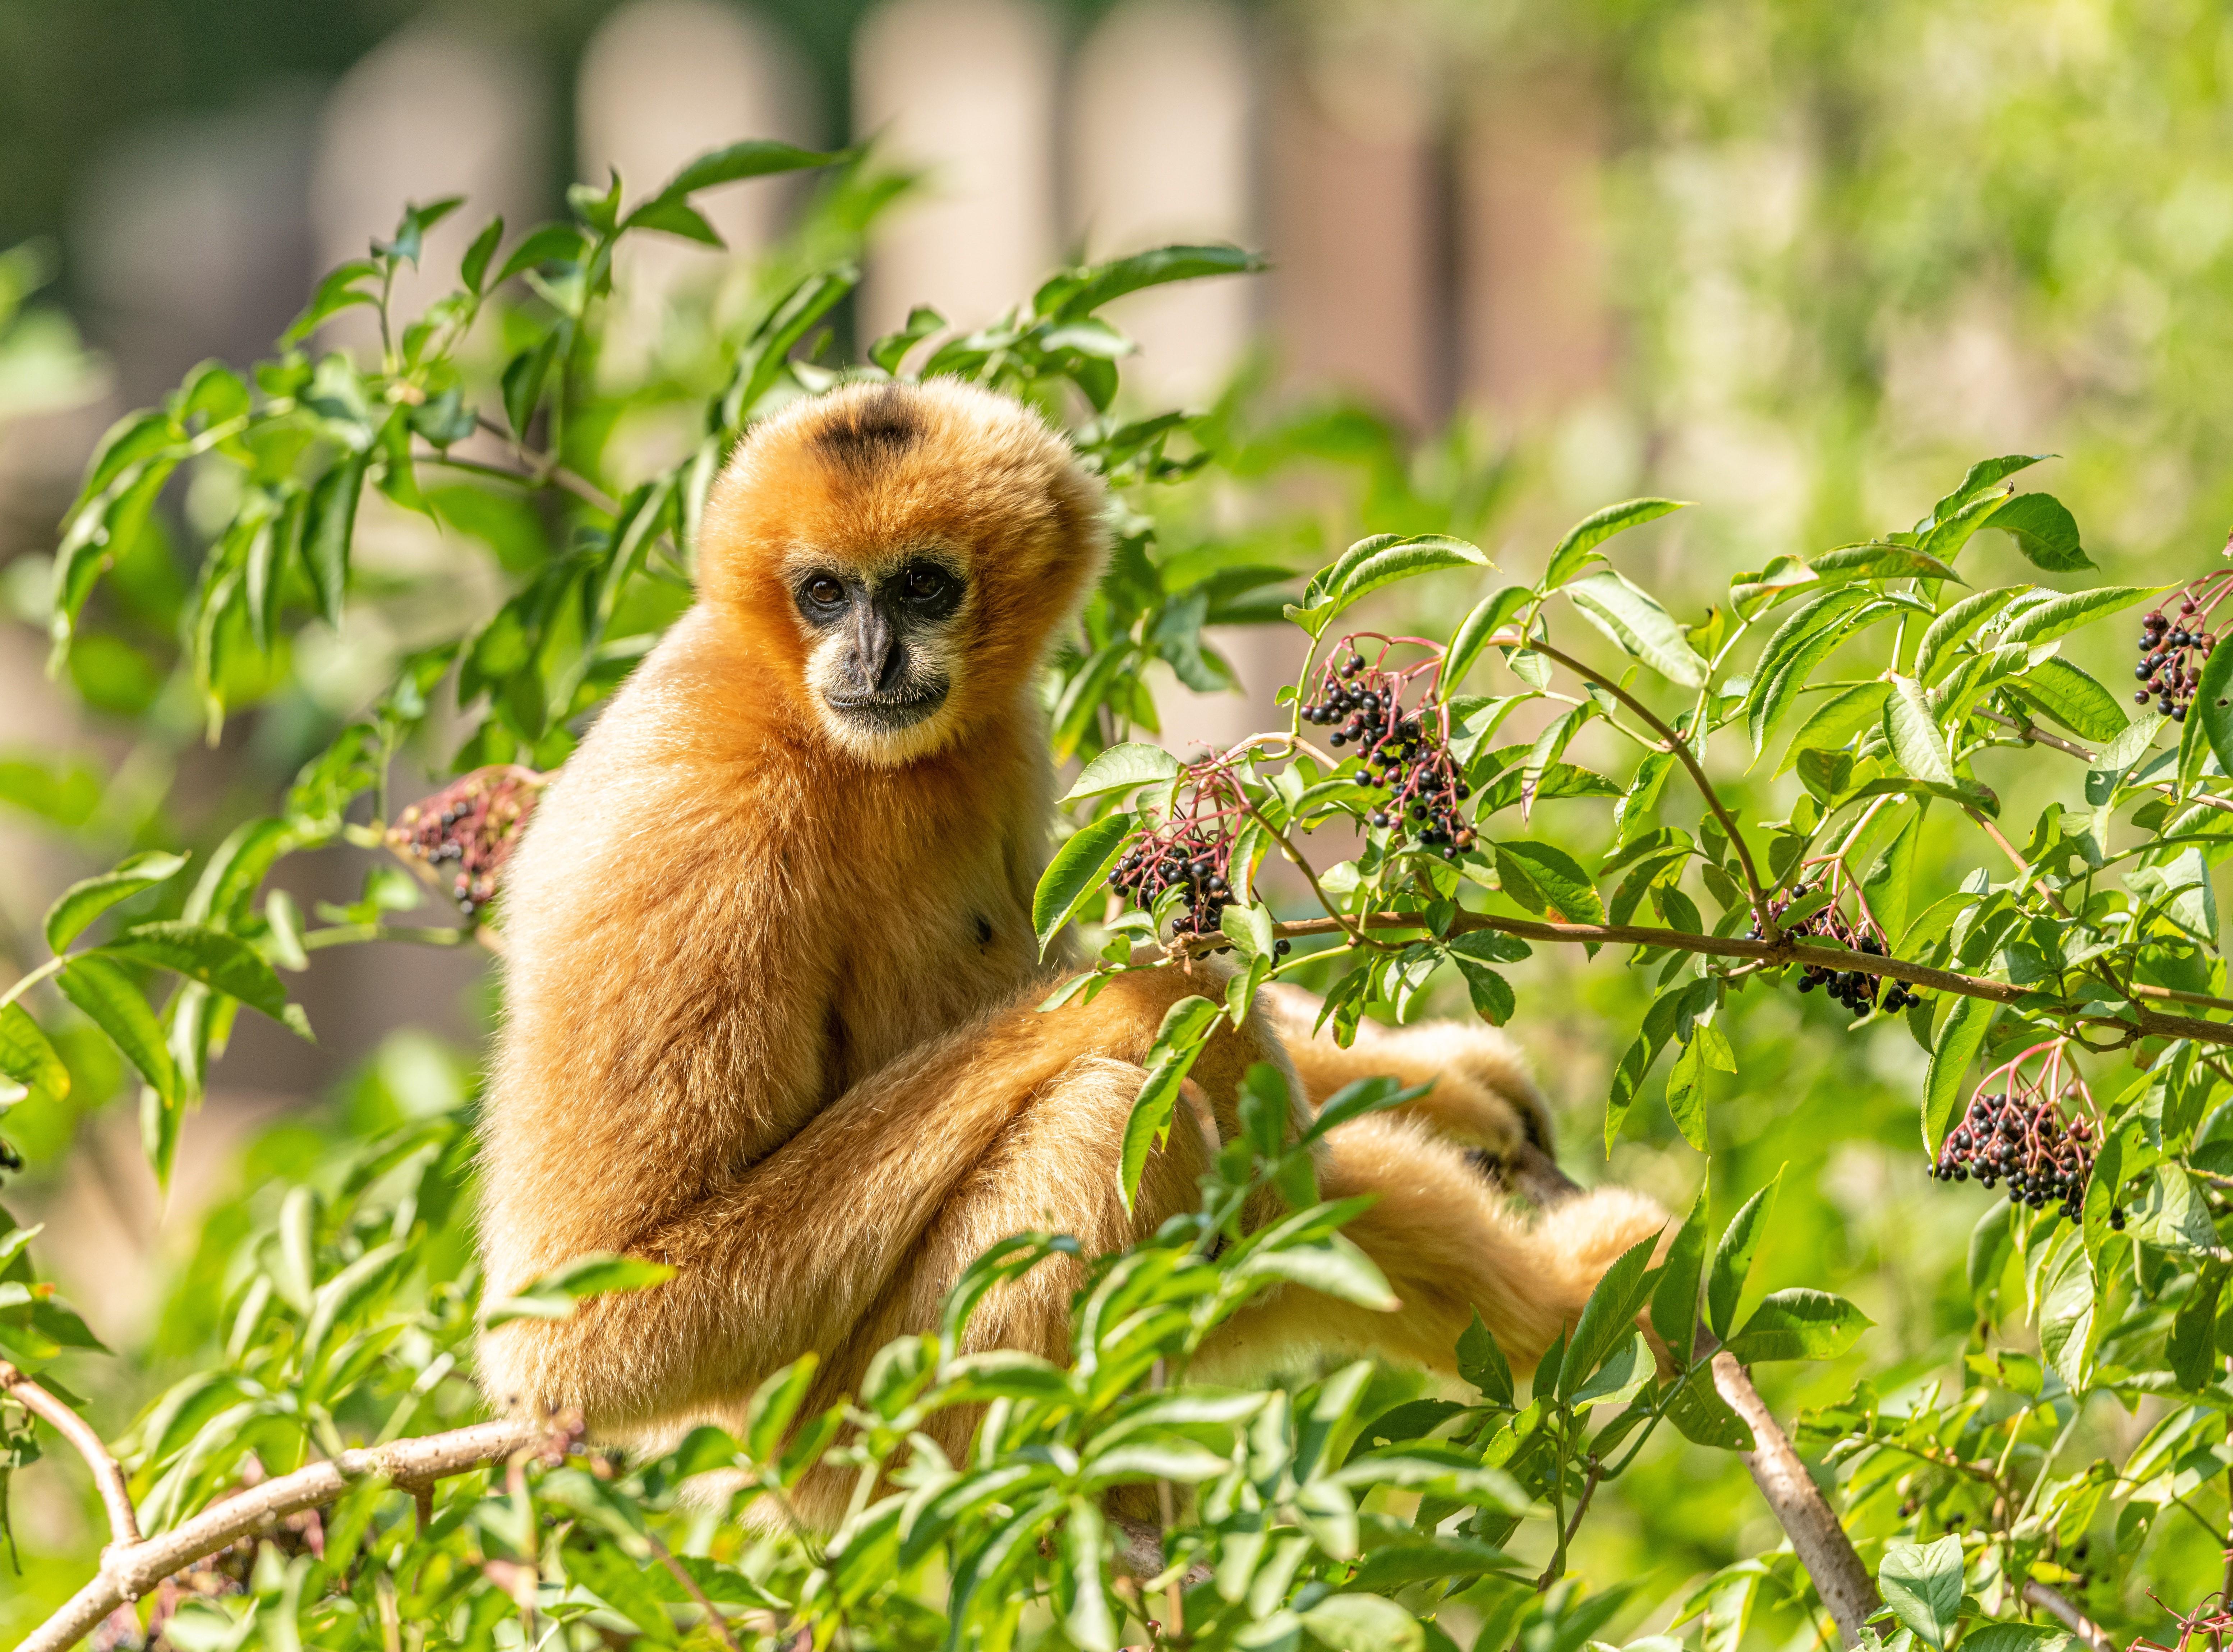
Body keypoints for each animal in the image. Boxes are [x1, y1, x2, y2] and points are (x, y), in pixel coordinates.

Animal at [474, 378, 1665, 1525]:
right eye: (823, 593)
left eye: (921, 586)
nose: (869, 654)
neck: (816, 729)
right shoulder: (692, 824)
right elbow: (584, 1327)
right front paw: (1154, 995)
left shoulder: (998, 741)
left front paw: (1452, 1081)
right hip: (863, 1424)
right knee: (1111, 1111)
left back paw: (1565, 1306)